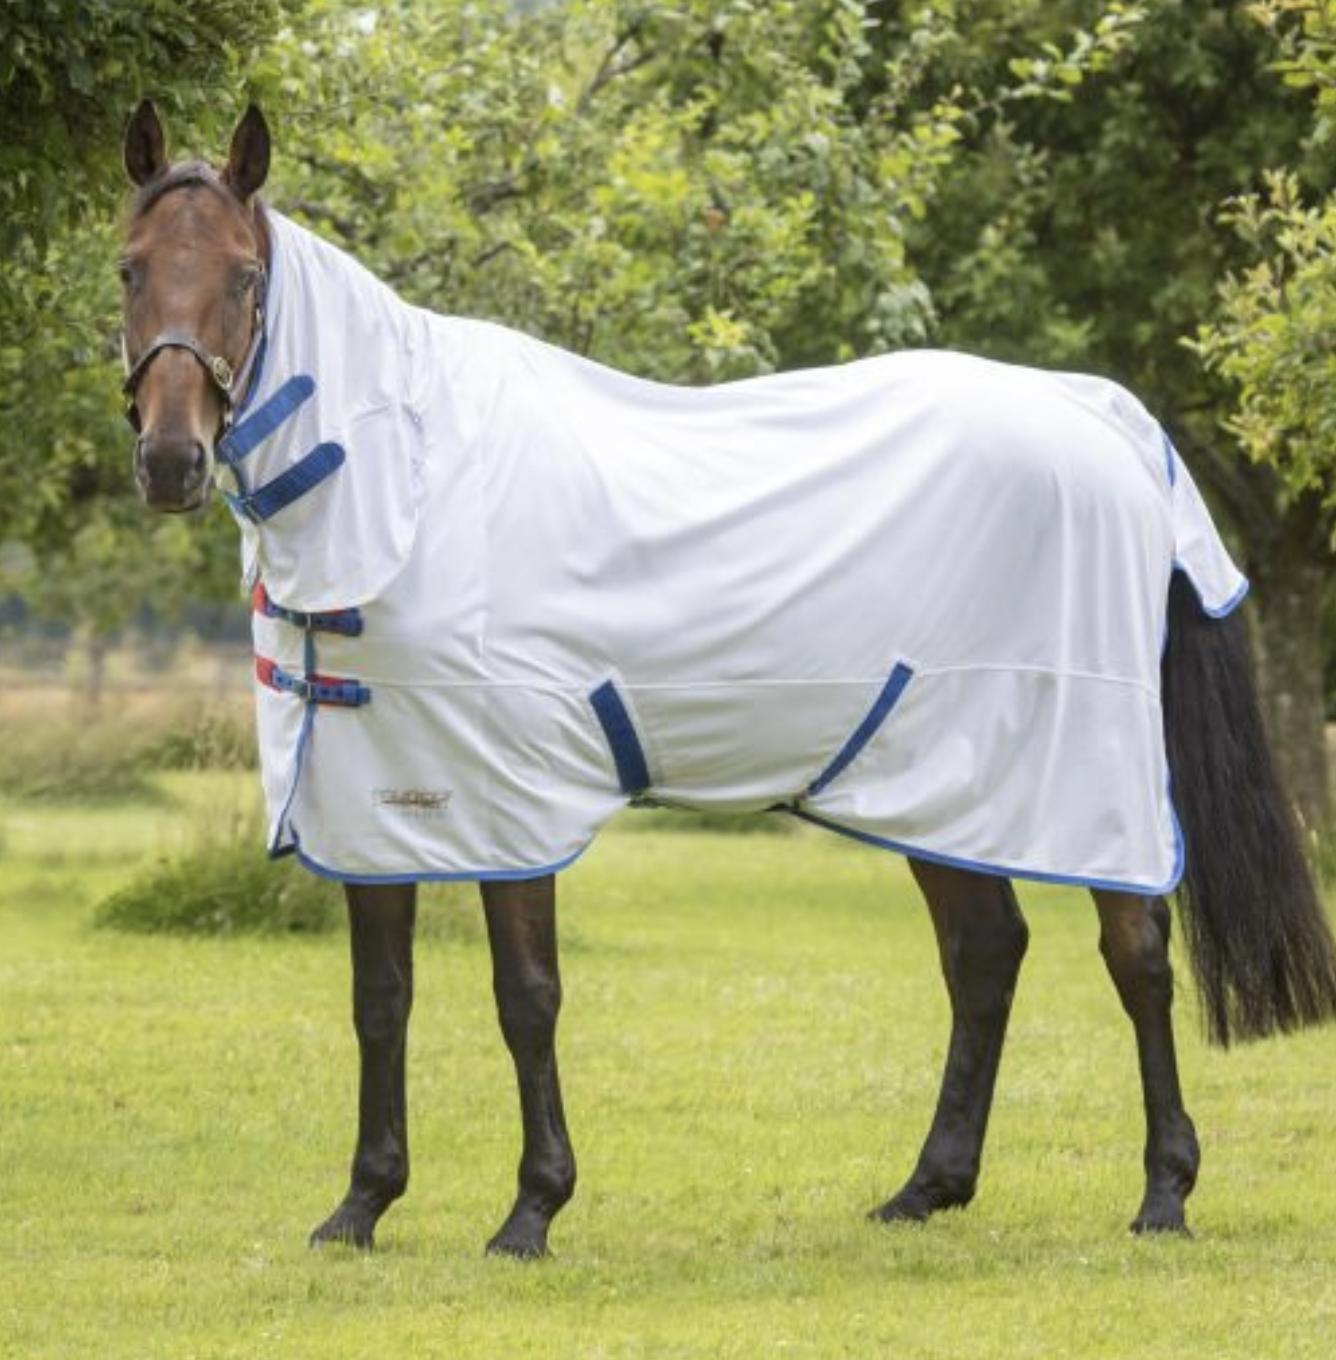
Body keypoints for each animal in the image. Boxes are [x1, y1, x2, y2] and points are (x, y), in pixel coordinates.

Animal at [118, 100, 1336, 1258]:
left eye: (244, 276)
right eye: (130, 267)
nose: (172, 461)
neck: (410, 483)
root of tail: (1105, 418)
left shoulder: (505, 798)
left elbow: (526, 999)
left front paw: (531, 1212)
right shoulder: (374, 798)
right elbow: (381, 999)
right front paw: (361, 1207)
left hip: (1080, 775)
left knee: (1135, 954)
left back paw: (1164, 1194)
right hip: (941, 779)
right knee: (985, 952)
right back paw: (925, 1189)